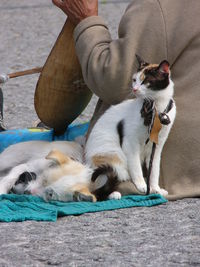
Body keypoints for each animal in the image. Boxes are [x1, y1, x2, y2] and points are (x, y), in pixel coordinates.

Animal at [85, 55, 176, 200]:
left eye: (145, 81)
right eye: (135, 80)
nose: (134, 89)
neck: (155, 110)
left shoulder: (157, 147)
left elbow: (154, 170)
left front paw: (155, 188)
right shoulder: (130, 144)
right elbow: (136, 166)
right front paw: (142, 185)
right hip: (115, 157)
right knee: (100, 184)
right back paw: (113, 194)